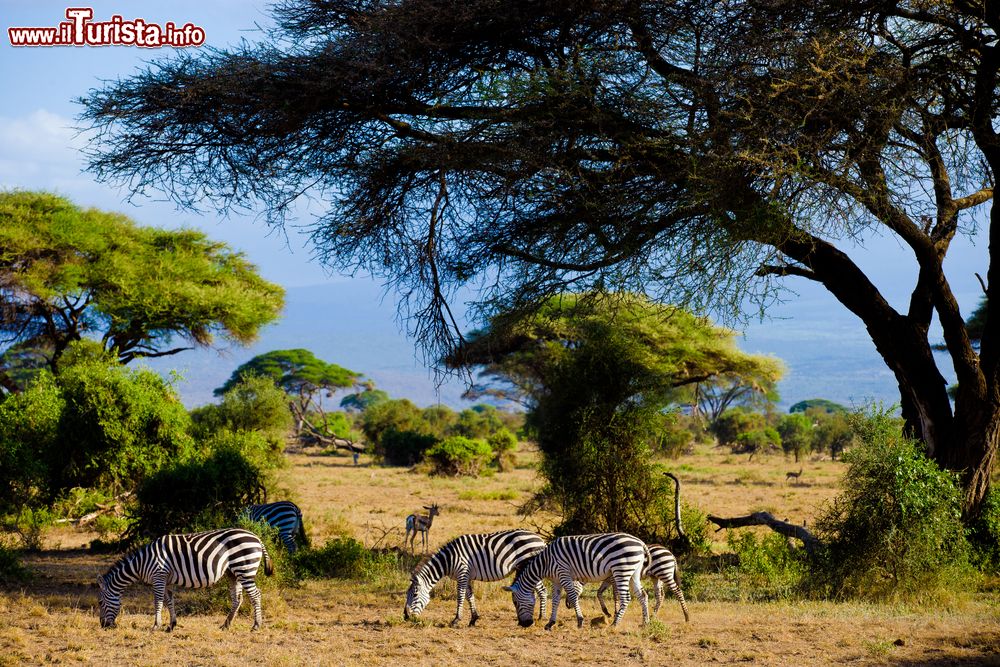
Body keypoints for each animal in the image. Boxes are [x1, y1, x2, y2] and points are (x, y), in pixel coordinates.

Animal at [96, 528, 274, 632]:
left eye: (100, 602)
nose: (103, 626)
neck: (143, 562)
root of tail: (256, 537)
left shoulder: (159, 575)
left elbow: (158, 602)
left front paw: (155, 626)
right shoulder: (166, 580)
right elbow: (169, 601)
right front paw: (171, 625)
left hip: (244, 568)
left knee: (255, 595)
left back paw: (256, 626)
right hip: (233, 573)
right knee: (237, 598)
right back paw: (226, 625)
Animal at [402, 528, 552, 628]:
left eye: (414, 595)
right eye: (407, 594)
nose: (406, 617)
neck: (448, 560)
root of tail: (540, 539)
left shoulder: (462, 573)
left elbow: (460, 596)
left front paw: (456, 620)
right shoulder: (467, 577)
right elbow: (470, 596)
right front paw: (473, 619)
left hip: (530, 566)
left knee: (542, 591)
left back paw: (541, 617)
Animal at [504, 532, 652, 632]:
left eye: (515, 603)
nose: (524, 624)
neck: (545, 563)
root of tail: (640, 543)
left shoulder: (563, 573)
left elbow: (573, 596)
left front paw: (580, 621)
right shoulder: (557, 580)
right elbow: (556, 600)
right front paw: (550, 623)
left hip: (622, 569)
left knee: (626, 598)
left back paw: (615, 623)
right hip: (633, 572)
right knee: (642, 595)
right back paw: (645, 622)